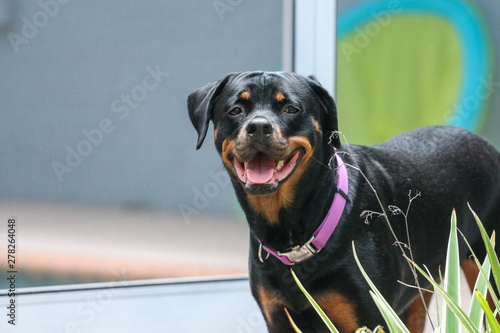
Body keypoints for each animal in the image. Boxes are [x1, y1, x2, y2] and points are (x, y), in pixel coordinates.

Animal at [187, 72, 500, 332]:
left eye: (291, 108)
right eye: (235, 110)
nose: (259, 127)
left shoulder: (370, 317)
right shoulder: (279, 318)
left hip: (487, 269)